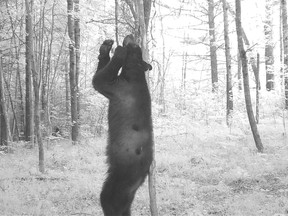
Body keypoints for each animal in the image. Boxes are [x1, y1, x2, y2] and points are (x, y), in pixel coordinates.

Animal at [93, 34, 154, 215]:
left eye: (135, 46)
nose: (130, 35)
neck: (134, 71)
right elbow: (100, 74)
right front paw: (105, 46)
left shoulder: (120, 87)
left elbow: (99, 80)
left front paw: (118, 51)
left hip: (121, 177)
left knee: (110, 200)